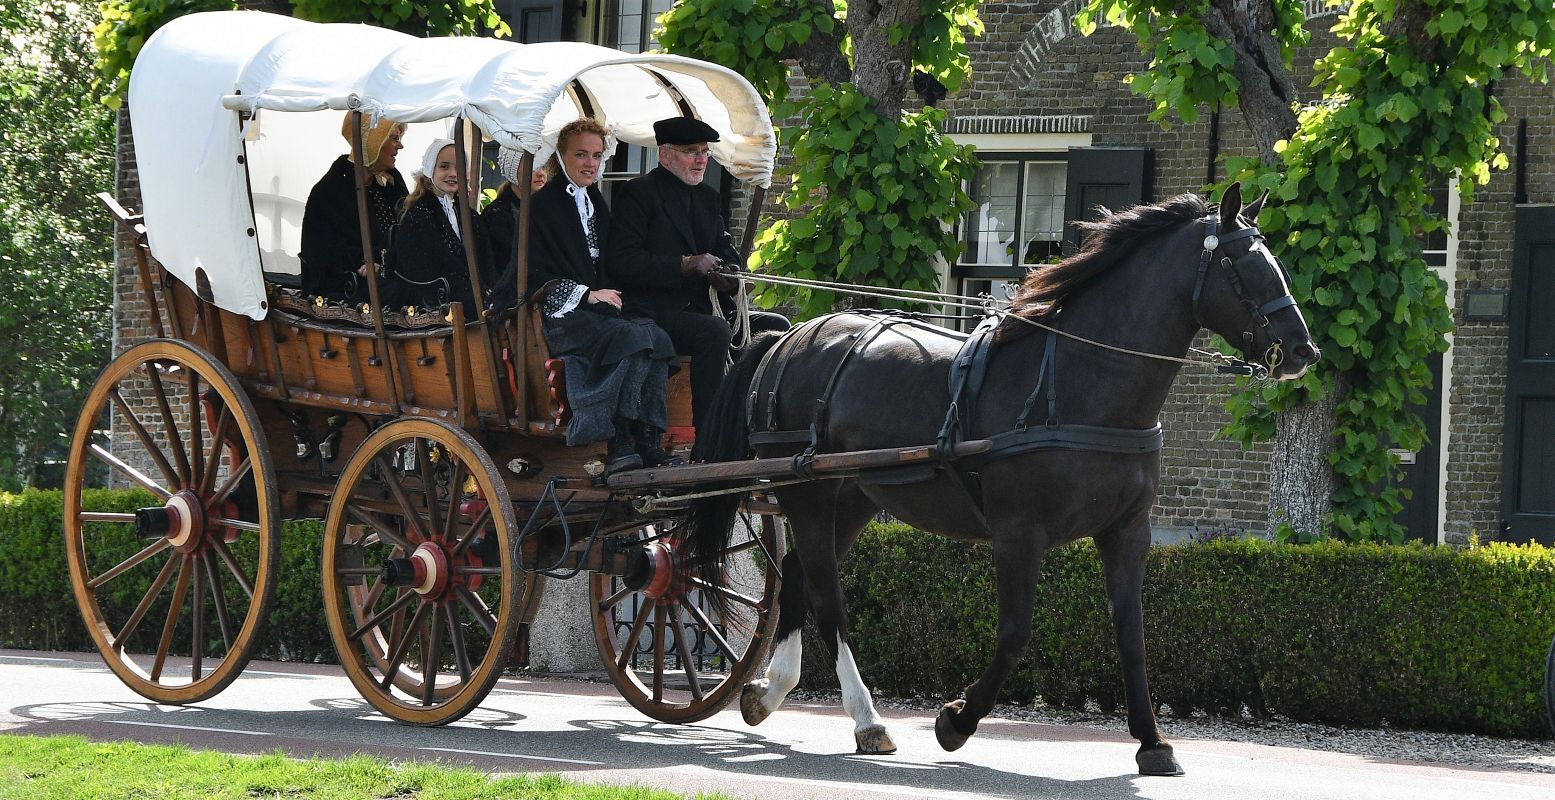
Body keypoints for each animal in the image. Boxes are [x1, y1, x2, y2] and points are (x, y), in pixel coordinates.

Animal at [690, 182, 1312, 771]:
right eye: (1243, 265)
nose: (1304, 349)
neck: (1080, 383)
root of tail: (789, 339)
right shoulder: (1019, 532)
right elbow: (1014, 635)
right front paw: (955, 721)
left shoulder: (1127, 532)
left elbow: (1132, 637)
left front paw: (1153, 744)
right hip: (811, 495)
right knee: (826, 595)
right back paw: (866, 717)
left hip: (854, 497)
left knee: (798, 575)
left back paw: (768, 694)